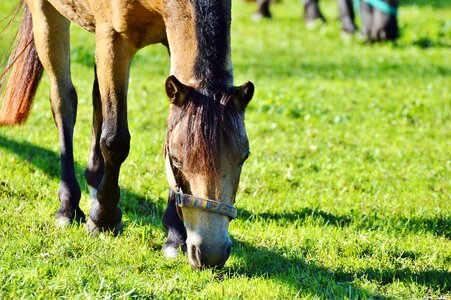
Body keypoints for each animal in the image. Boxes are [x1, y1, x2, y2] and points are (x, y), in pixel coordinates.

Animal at [0, 0, 254, 270]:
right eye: (177, 161)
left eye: (244, 157)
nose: (210, 253)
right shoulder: (114, 39)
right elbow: (115, 141)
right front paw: (104, 220)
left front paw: (175, 237)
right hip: (47, 14)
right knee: (64, 102)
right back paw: (68, 207)